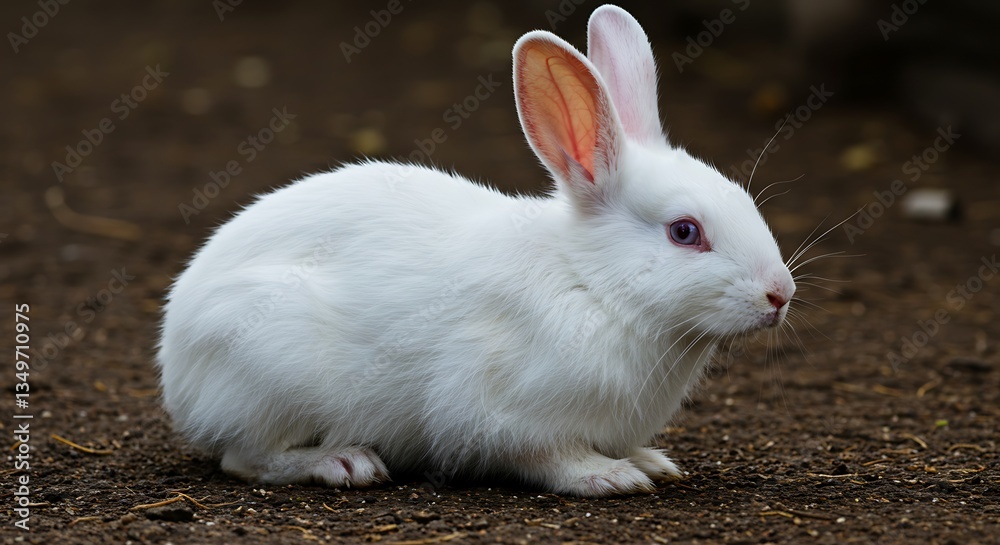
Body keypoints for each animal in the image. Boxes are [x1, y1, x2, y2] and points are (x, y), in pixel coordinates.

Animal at [157, 4, 795, 497]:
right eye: (685, 232)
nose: (780, 295)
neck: (592, 286)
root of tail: (176, 368)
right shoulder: (499, 413)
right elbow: (548, 457)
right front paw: (609, 477)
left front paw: (648, 462)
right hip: (271, 376)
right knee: (246, 458)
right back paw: (342, 461)